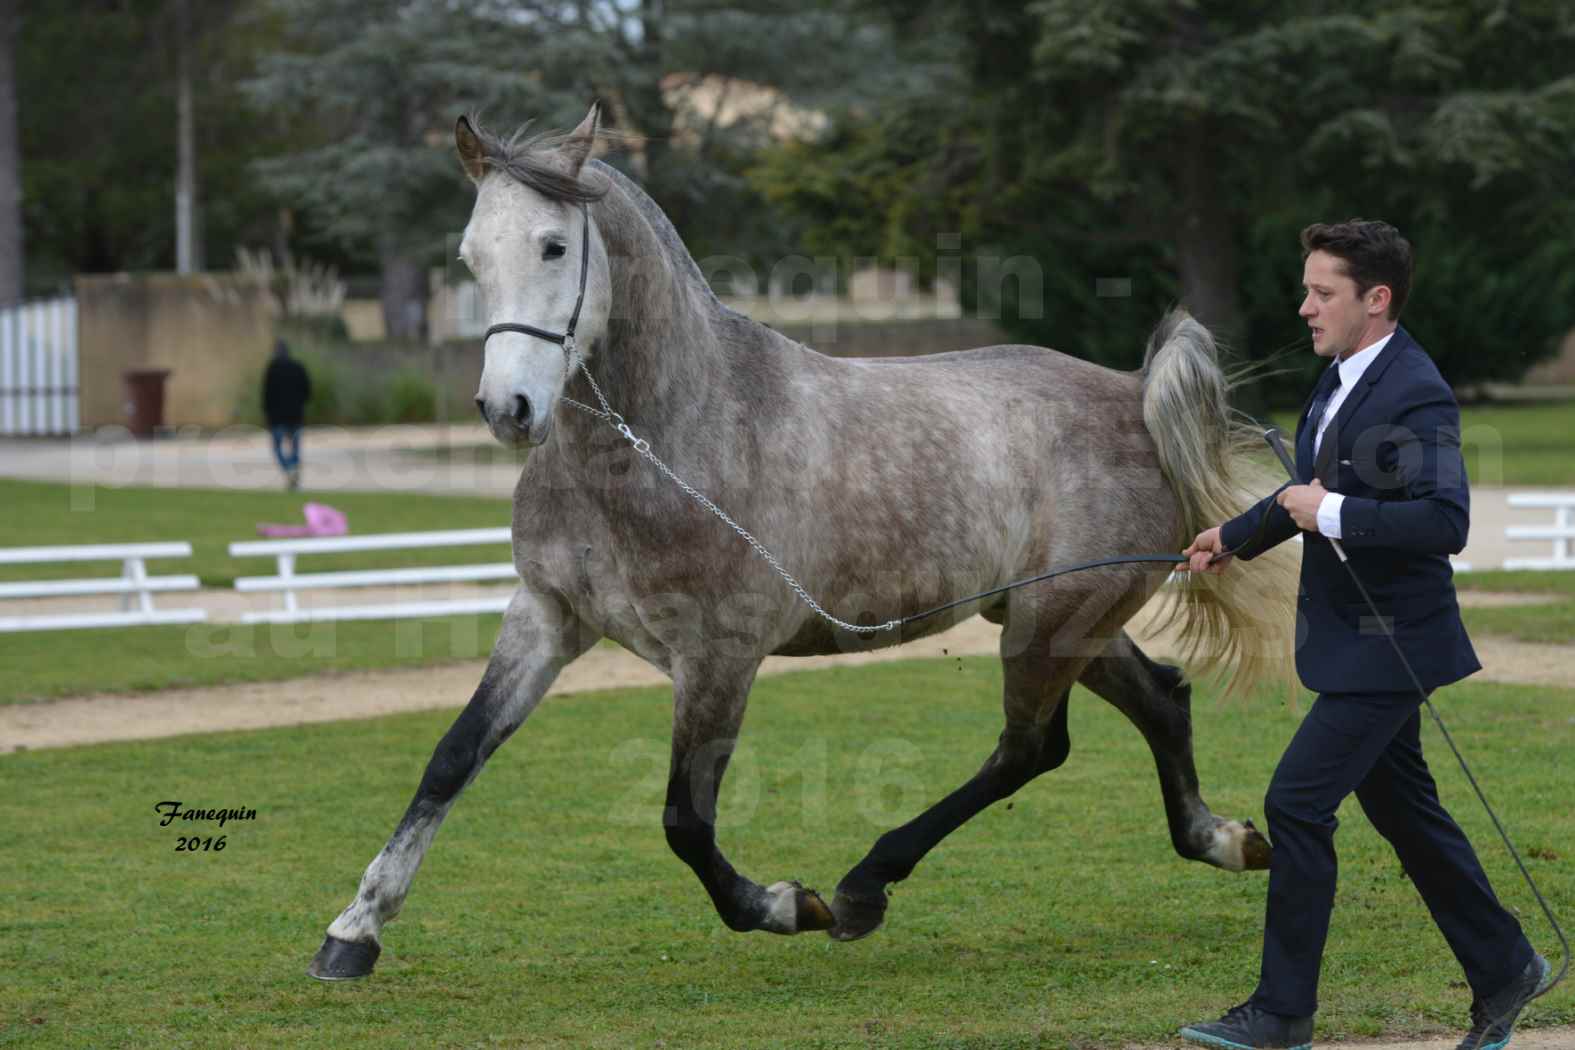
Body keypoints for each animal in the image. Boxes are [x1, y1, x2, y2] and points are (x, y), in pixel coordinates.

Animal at [303, 102, 1291, 982]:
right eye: (470, 256)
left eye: (552, 245)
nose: (507, 410)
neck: (675, 439)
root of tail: (1131, 393)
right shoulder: (547, 617)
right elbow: (452, 758)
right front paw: (353, 931)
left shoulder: (718, 657)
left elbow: (683, 820)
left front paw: (783, 905)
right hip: (1060, 615)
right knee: (1153, 701)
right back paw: (1222, 839)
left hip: (1051, 621)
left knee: (1027, 747)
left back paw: (861, 887)